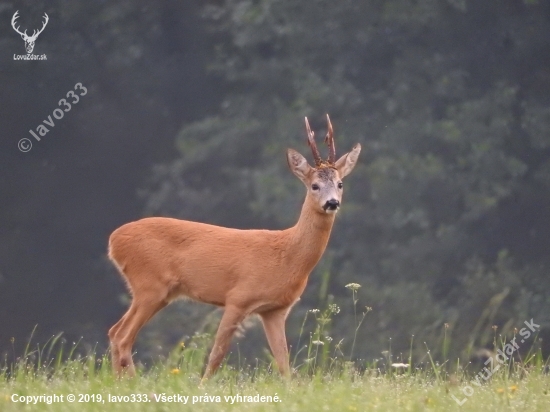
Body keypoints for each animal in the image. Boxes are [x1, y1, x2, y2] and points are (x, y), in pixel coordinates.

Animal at [109, 115, 362, 380]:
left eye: (340, 183)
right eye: (314, 186)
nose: (332, 203)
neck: (287, 254)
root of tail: (114, 240)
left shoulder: (275, 309)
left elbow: (283, 363)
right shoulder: (238, 297)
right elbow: (216, 355)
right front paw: (203, 386)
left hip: (156, 292)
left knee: (114, 332)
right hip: (149, 284)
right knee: (123, 337)